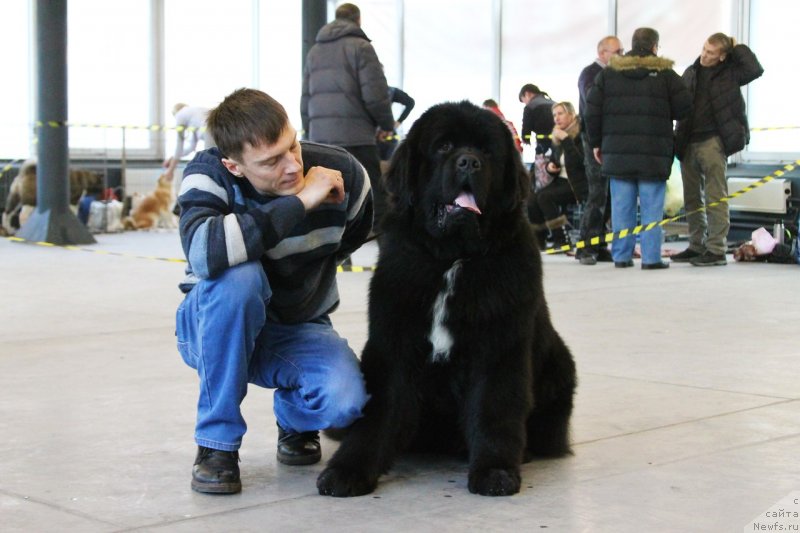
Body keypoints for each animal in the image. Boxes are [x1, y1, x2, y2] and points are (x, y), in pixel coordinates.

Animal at [318, 102, 576, 496]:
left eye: (487, 151)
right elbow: (378, 414)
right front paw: (348, 469)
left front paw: (495, 470)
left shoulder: (498, 345)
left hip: (562, 365)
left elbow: (494, 407)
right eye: (444, 146)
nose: (469, 162)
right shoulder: (394, 345)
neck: (453, 259)